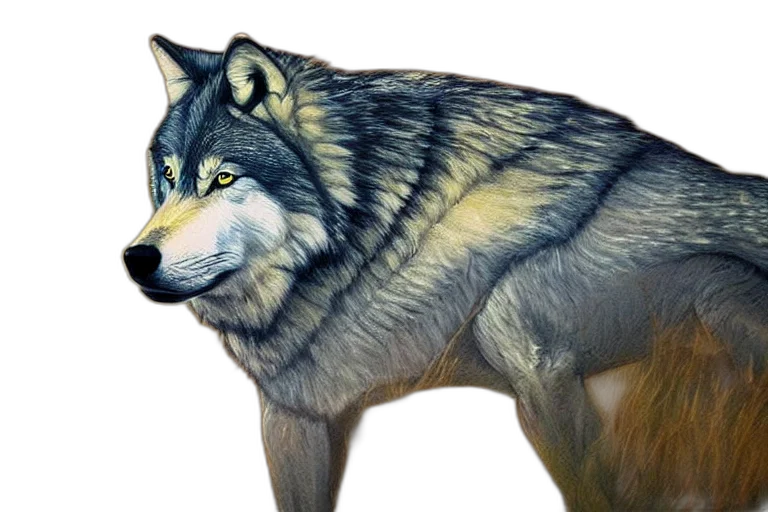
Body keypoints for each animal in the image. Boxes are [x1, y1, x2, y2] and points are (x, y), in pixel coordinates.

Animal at [124, 33, 768, 511]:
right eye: (169, 174)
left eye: (223, 177)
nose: (137, 258)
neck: (384, 230)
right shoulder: (297, 416)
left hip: (562, 311)